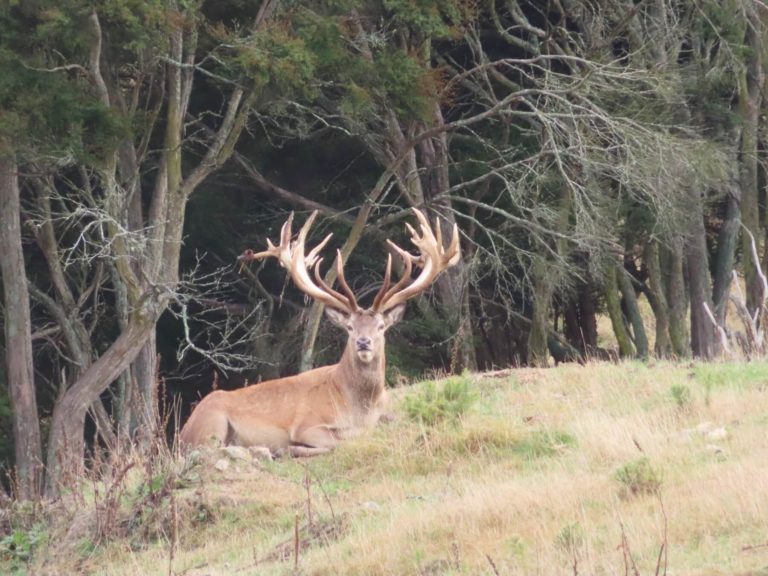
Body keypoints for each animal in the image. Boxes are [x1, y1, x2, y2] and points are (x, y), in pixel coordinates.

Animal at [179, 208, 460, 456]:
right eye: (349, 327)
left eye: (381, 327)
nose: (363, 342)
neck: (361, 407)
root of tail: (183, 431)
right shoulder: (308, 424)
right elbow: (340, 441)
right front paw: (290, 448)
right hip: (212, 422)